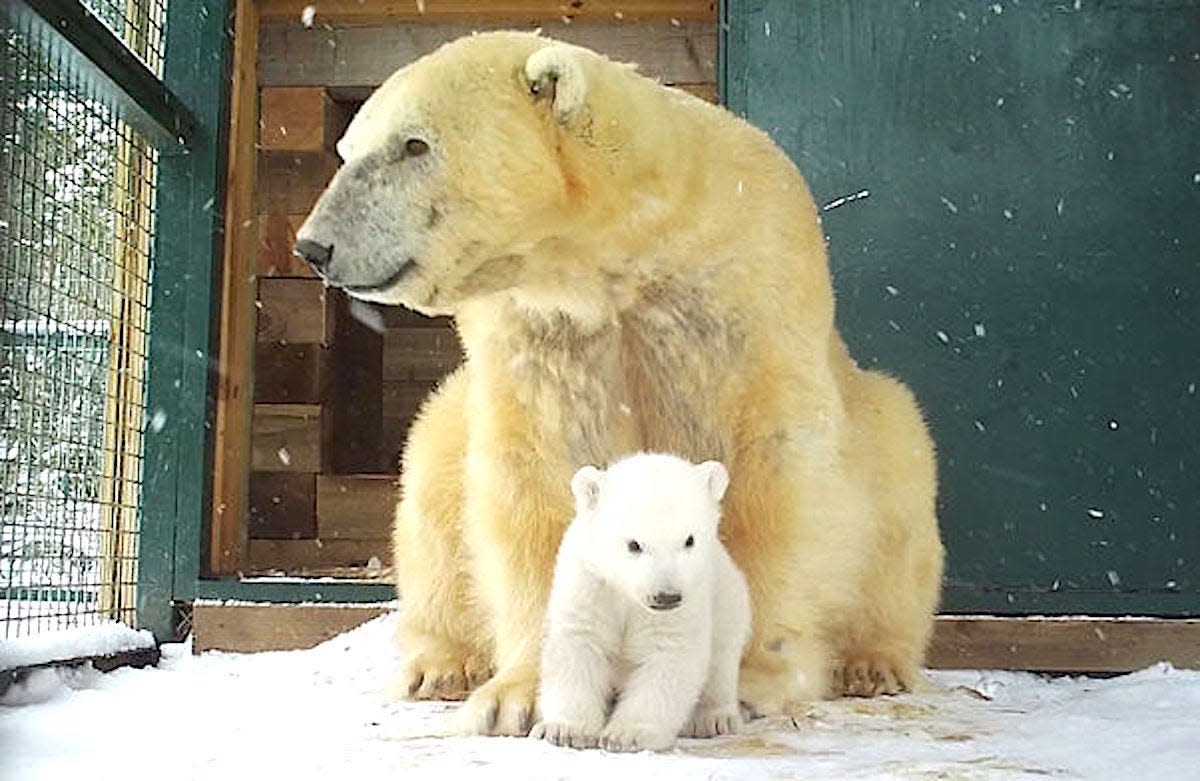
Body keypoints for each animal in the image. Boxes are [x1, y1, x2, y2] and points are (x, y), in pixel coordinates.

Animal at [295, 32, 940, 739]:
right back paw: (440, 666)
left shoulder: (750, 295)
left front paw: (746, 678)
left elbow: (773, 479)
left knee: (900, 494)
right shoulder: (541, 333)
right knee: (433, 476)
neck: (622, 256)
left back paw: (873, 662)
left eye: (414, 144)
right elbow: (534, 480)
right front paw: (517, 696)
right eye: (347, 149)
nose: (314, 247)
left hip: (884, 428)